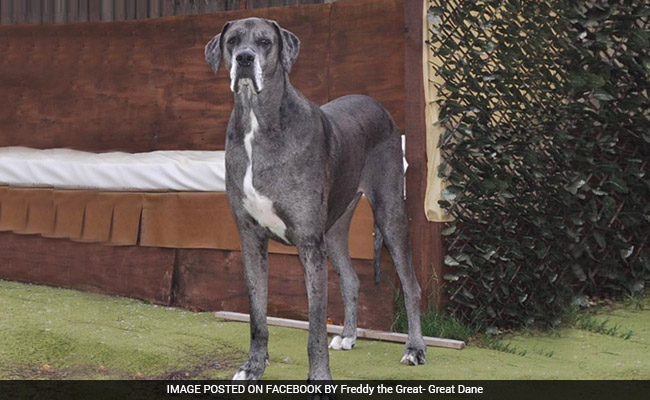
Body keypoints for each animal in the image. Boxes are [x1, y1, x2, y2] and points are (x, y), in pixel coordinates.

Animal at [204, 18, 426, 382]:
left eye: (264, 42)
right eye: (233, 40)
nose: (245, 59)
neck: (257, 123)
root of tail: (378, 106)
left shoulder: (309, 244)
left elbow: (316, 327)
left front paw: (319, 377)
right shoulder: (251, 239)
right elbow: (257, 317)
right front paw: (252, 367)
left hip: (389, 213)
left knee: (411, 285)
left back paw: (415, 349)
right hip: (334, 229)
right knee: (351, 278)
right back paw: (349, 336)